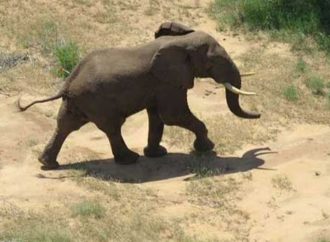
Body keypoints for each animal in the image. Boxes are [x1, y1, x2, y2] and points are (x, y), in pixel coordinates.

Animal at [18, 21, 260, 169]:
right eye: (213, 62)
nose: (259, 114)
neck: (180, 41)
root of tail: (67, 83)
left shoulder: (160, 84)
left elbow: (158, 116)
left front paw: (157, 154)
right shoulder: (168, 83)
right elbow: (173, 115)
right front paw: (207, 149)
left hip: (79, 102)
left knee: (65, 125)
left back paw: (47, 164)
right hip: (96, 101)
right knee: (112, 128)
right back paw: (129, 160)